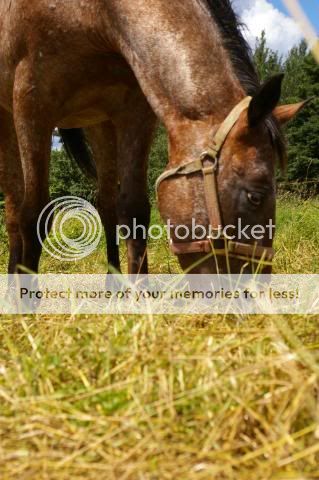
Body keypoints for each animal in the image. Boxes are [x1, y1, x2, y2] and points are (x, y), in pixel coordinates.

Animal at [0, 0, 306, 274]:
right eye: (255, 196)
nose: (252, 288)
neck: (94, 14)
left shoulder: (135, 111)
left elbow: (133, 211)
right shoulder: (32, 103)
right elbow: (34, 215)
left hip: (99, 124)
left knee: (106, 207)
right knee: (15, 214)